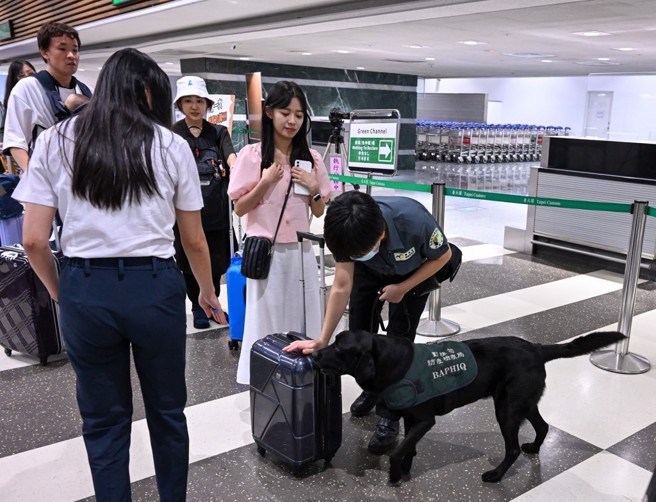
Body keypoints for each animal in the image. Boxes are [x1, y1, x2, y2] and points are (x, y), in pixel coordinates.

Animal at [316, 330, 624, 482]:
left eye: (339, 349)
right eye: (333, 342)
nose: (316, 353)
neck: (390, 361)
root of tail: (537, 348)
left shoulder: (425, 420)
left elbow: (397, 452)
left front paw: (394, 476)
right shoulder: (411, 418)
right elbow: (407, 448)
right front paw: (406, 469)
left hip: (506, 409)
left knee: (512, 448)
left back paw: (496, 475)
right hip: (521, 402)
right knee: (543, 426)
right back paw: (534, 449)